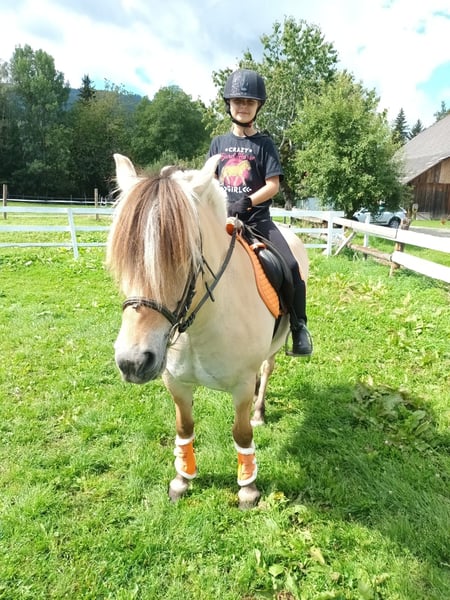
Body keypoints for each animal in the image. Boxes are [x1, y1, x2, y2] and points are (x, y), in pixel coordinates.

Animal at [106, 154, 309, 508]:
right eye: (125, 258)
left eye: (183, 258)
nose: (133, 362)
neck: (199, 328)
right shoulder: (175, 382)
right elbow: (184, 428)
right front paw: (182, 480)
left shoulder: (241, 386)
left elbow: (242, 432)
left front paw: (248, 488)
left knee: (267, 369)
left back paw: (260, 411)